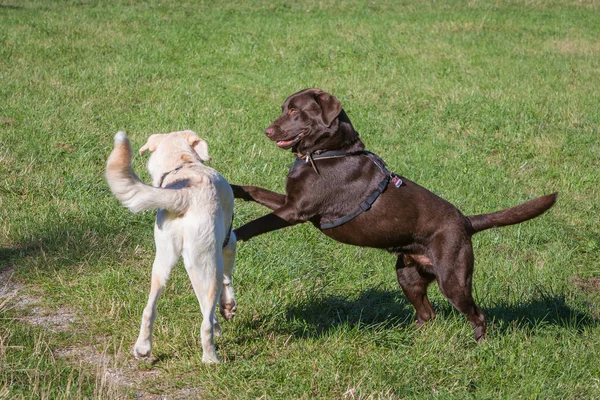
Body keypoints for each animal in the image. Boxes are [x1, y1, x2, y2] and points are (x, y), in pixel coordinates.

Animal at [105, 130, 237, 362]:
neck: (182, 163)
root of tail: (185, 195)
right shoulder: (229, 242)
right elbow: (226, 280)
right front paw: (227, 308)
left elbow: (203, 304)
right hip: (208, 263)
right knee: (205, 321)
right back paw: (211, 358)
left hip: (163, 262)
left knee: (149, 309)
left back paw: (143, 348)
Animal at [231, 87, 556, 340]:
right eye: (284, 109)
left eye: (295, 111)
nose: (267, 131)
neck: (327, 152)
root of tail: (465, 221)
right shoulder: (290, 202)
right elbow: (254, 190)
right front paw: (232, 188)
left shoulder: (296, 210)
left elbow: (255, 224)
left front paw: (231, 234)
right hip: (408, 274)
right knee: (427, 314)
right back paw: (410, 340)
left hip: (453, 279)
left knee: (477, 314)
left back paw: (478, 346)